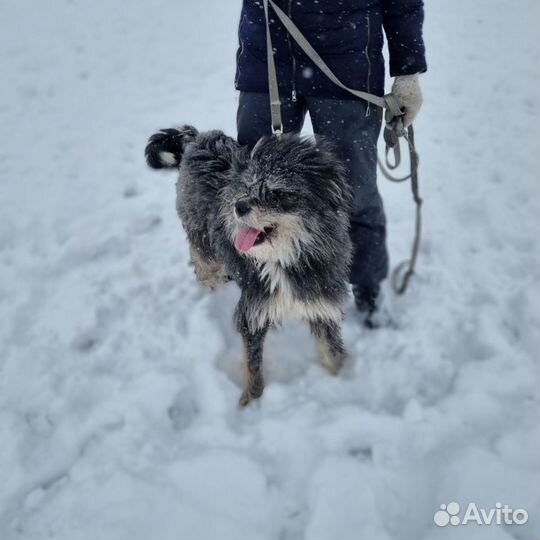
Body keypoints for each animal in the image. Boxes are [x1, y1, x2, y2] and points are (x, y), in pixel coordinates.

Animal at [146, 126, 352, 404]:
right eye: (247, 186)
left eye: (276, 192)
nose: (238, 206)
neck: (284, 258)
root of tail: (199, 138)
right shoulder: (252, 311)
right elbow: (253, 368)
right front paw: (251, 403)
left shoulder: (322, 306)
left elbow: (332, 355)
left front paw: (342, 380)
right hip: (202, 240)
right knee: (203, 264)